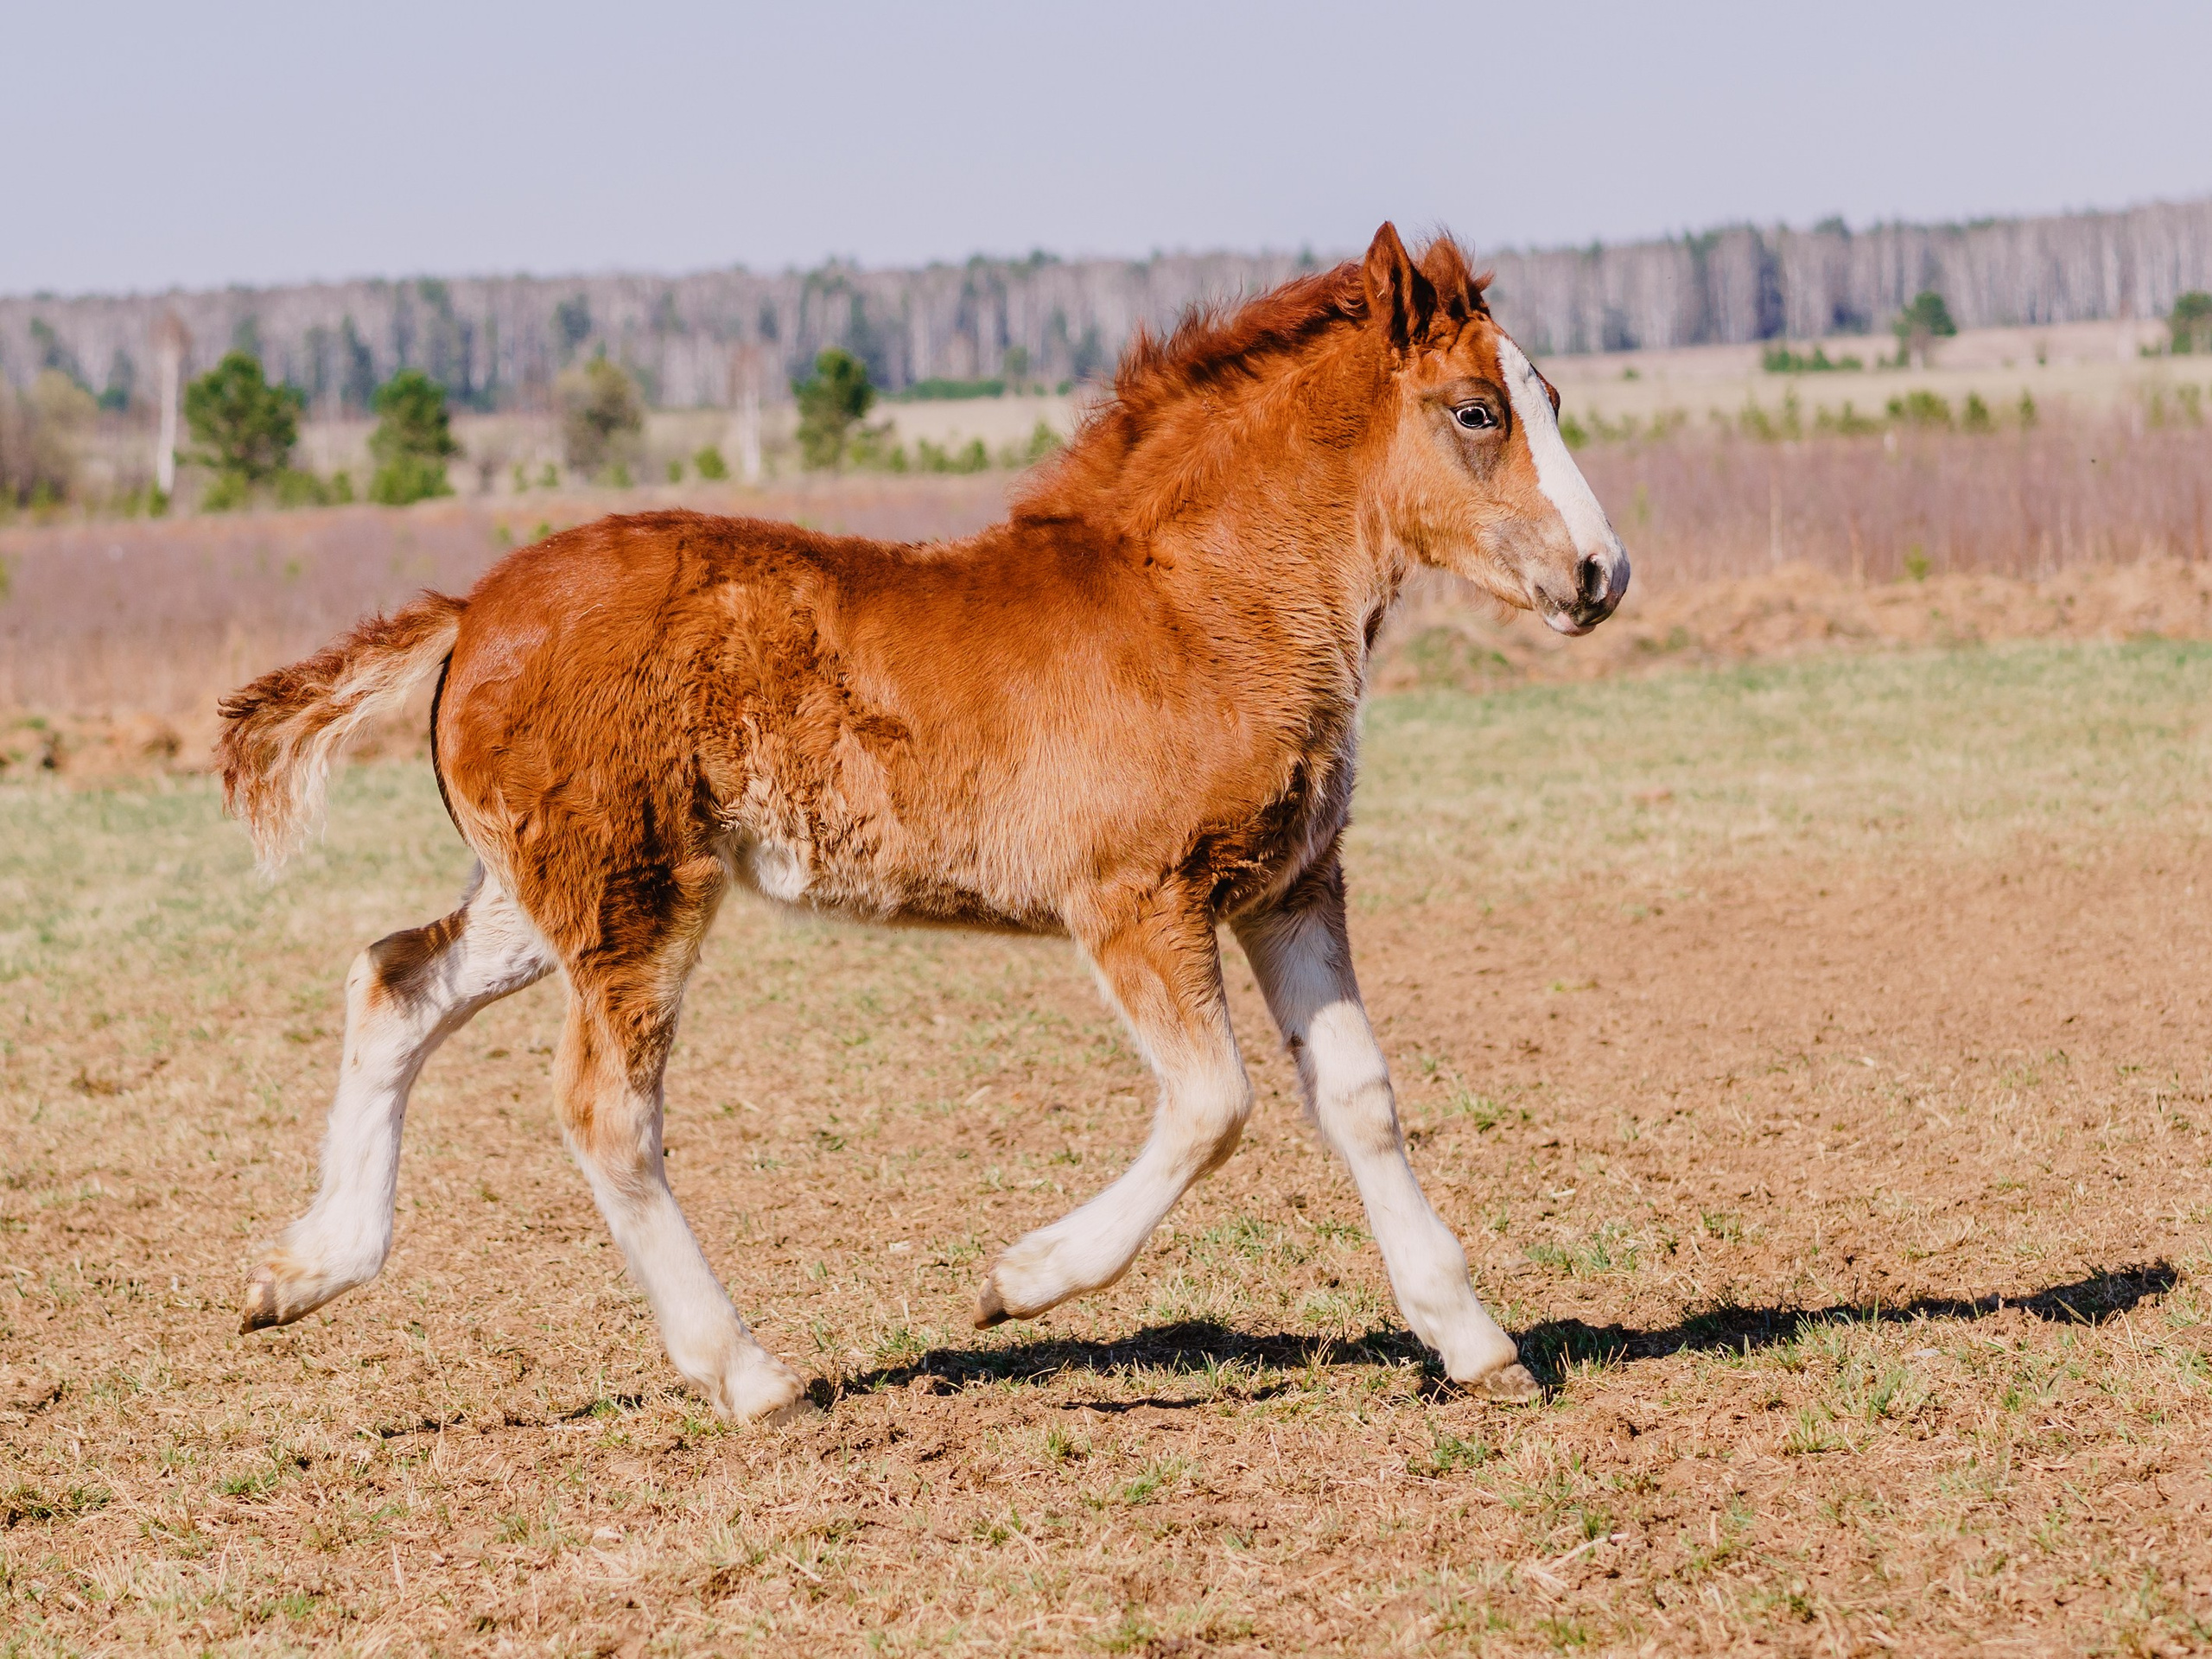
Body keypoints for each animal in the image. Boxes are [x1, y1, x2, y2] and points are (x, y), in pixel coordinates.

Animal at [217, 223, 1630, 1422]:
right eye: (1477, 411)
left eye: (1552, 401)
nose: (1602, 575)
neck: (1201, 605)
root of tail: (469, 612)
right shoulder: (1134, 899)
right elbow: (1214, 1105)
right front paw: (1018, 1281)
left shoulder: (1290, 886)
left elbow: (1359, 1097)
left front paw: (1476, 1343)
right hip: (636, 898)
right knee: (605, 1110)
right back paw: (751, 1377)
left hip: (542, 891)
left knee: (396, 981)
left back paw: (303, 1272)